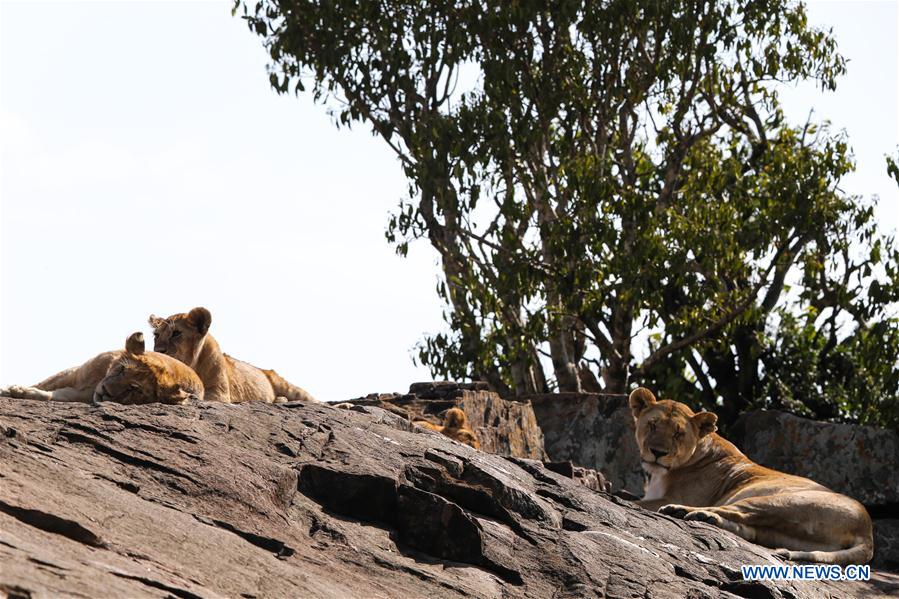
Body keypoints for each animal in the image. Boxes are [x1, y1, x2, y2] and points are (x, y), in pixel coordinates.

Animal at [1, 332, 204, 408]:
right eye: (121, 370)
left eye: (135, 389)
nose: (105, 391)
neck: (98, 378)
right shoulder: (73, 373)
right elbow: (44, 384)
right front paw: (9, 389)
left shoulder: (80, 395)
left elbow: (50, 395)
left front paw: (20, 392)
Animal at [628, 390, 876, 568]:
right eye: (652, 425)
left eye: (678, 434)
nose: (657, 452)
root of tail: (867, 531)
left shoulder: (677, 496)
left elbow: (634, 500)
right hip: (782, 534)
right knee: (749, 529)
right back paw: (704, 518)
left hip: (777, 501)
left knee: (737, 512)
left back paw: (682, 511)